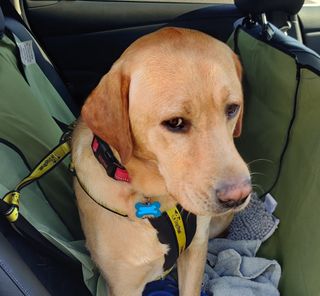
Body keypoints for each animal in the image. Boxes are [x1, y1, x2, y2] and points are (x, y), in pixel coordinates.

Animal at [71, 27, 251, 296]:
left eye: (232, 109)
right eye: (175, 122)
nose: (238, 197)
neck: (158, 199)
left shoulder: (196, 250)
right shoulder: (124, 285)